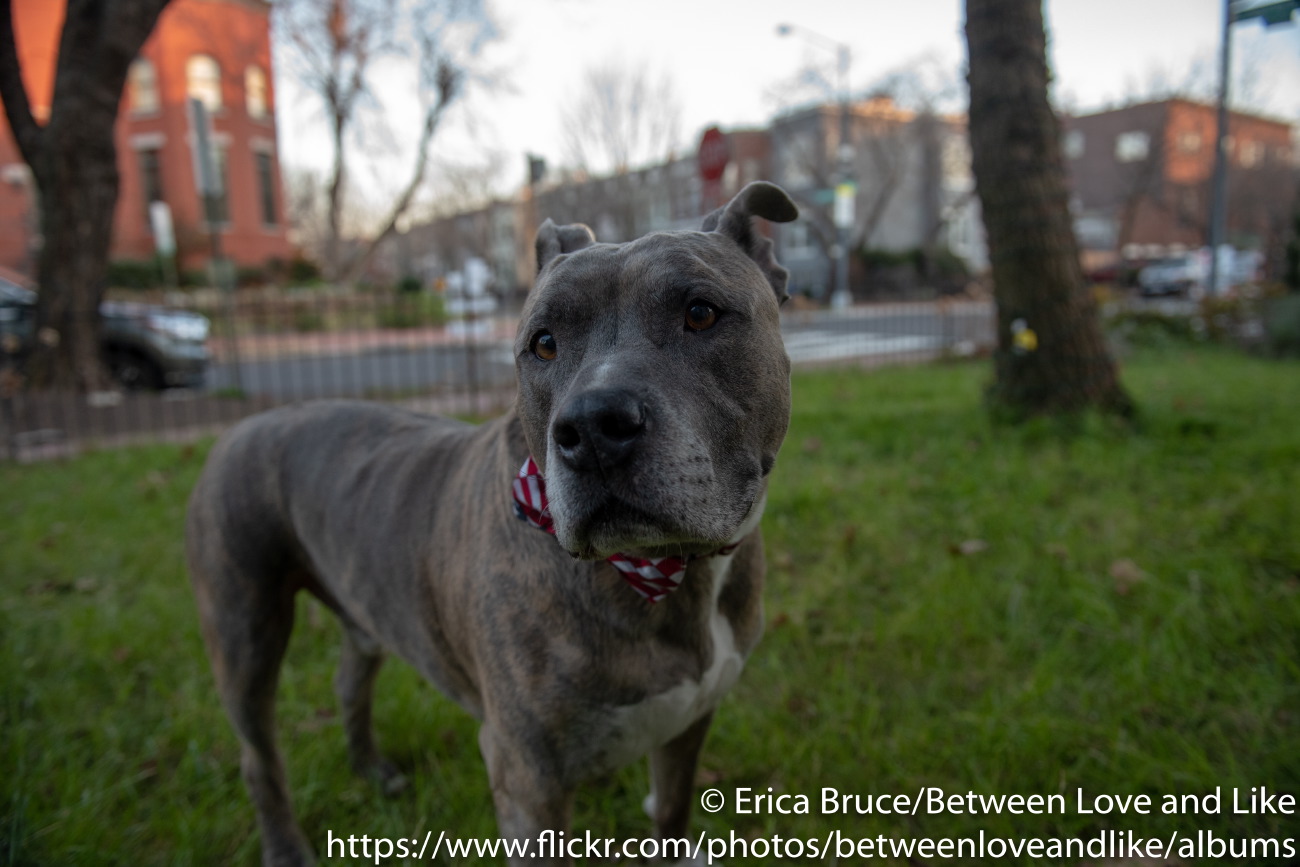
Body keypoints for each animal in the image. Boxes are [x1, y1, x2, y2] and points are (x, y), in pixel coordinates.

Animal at [186, 181, 798, 865]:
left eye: (700, 313)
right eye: (544, 343)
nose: (592, 428)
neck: (667, 568)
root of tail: (240, 425)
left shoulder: (688, 725)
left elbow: (670, 814)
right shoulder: (529, 781)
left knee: (349, 681)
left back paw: (371, 769)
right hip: (244, 632)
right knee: (257, 757)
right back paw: (286, 844)